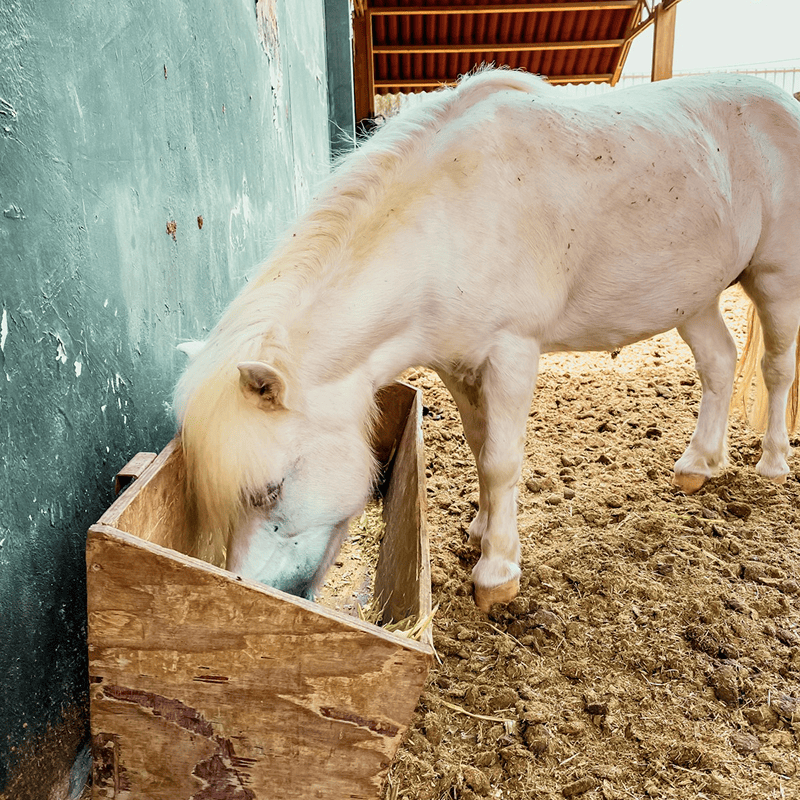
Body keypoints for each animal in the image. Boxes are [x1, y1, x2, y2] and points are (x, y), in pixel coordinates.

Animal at [175, 68, 800, 612]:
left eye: (268, 490)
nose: (253, 590)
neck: (451, 217)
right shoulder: (457, 364)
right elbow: (479, 444)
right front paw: (480, 529)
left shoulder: (511, 353)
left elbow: (501, 460)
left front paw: (497, 573)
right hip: (692, 296)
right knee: (719, 364)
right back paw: (699, 465)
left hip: (775, 279)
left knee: (776, 368)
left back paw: (771, 464)